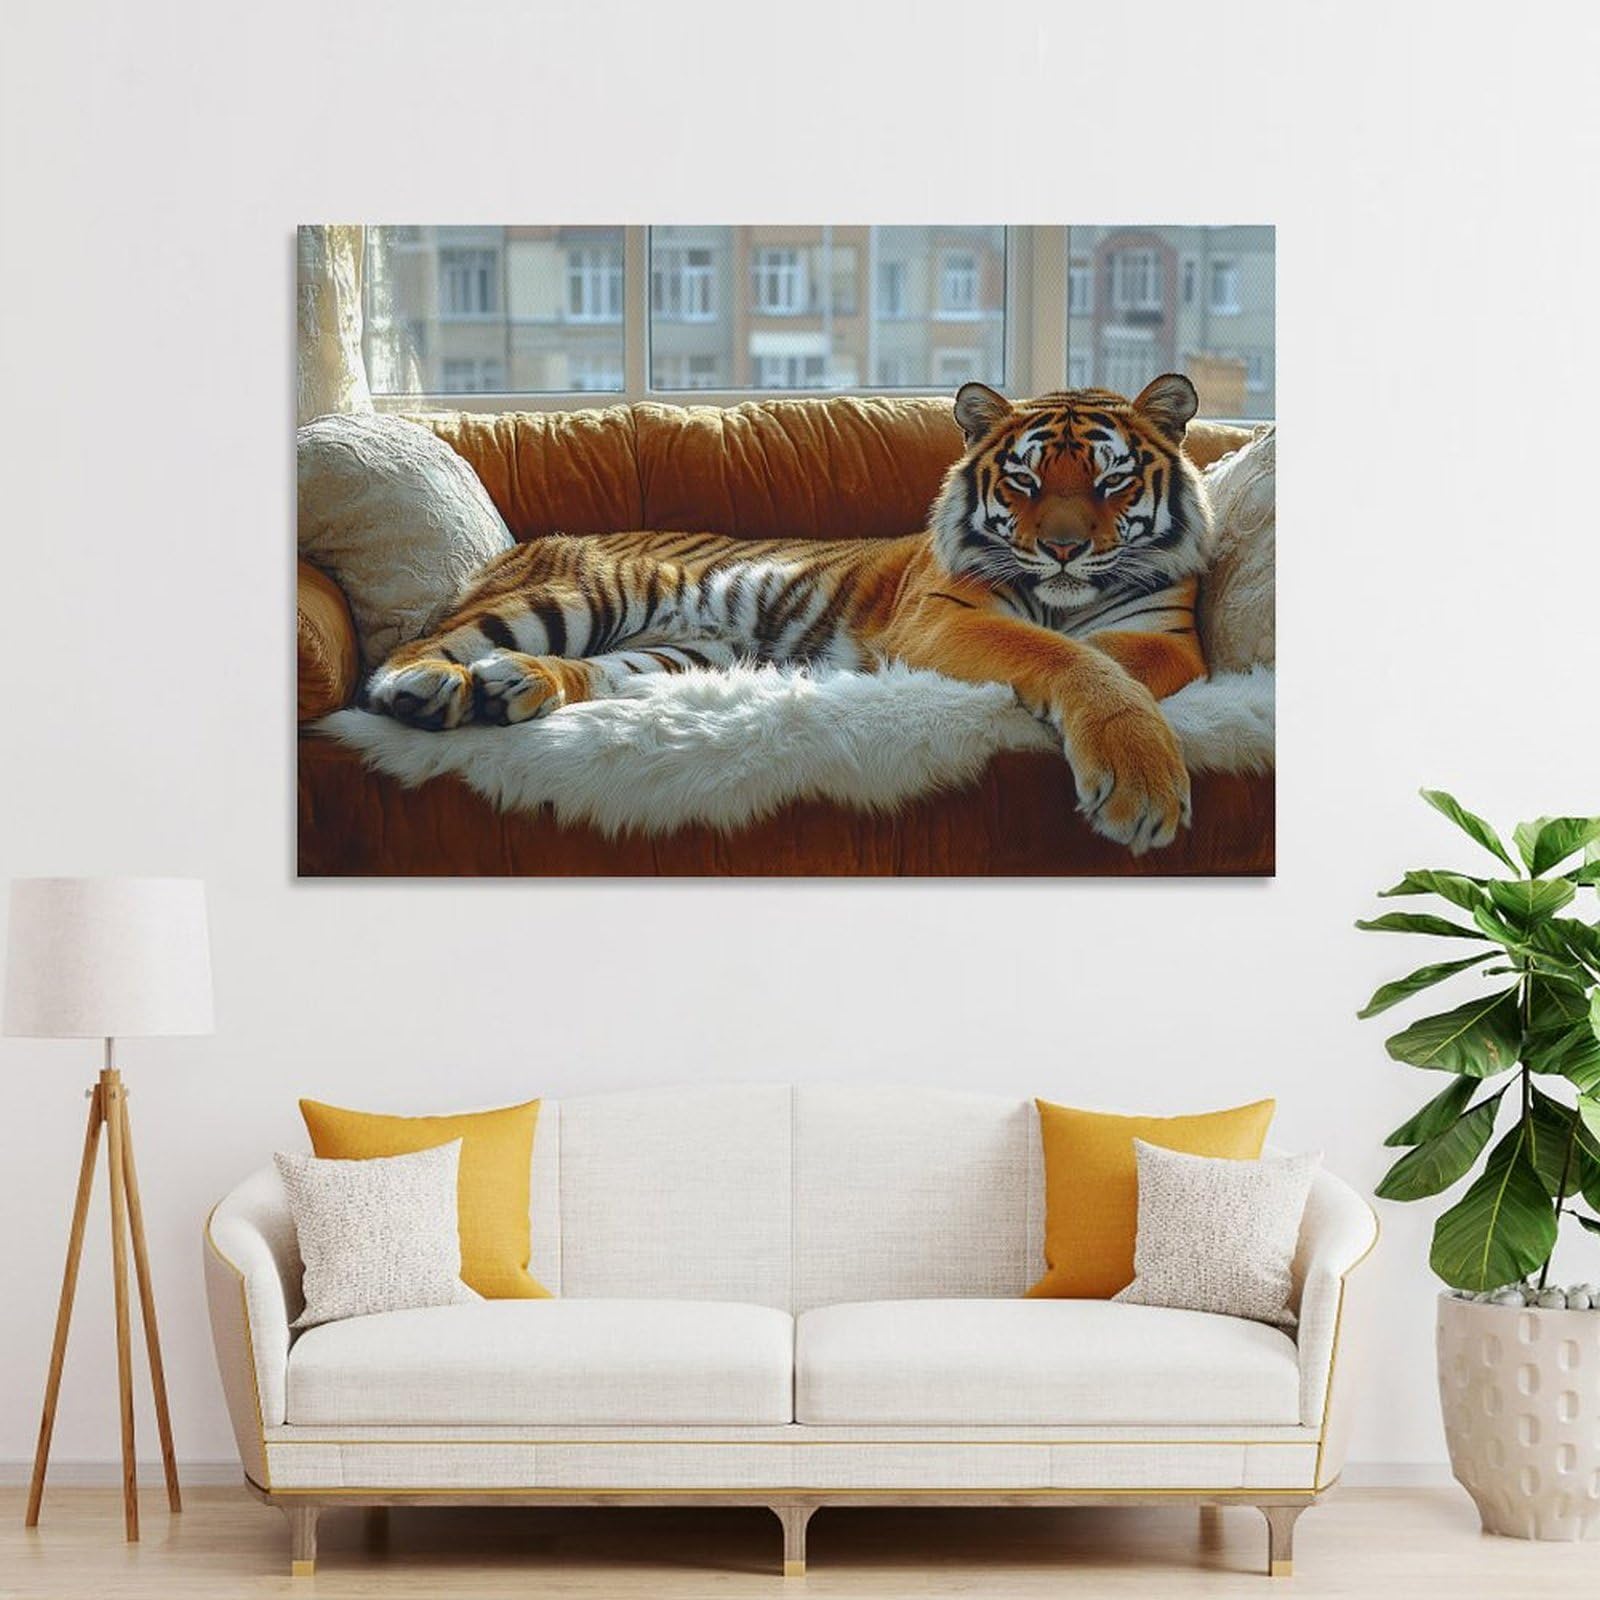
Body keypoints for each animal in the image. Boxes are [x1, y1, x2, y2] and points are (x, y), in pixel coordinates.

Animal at [362, 373, 1212, 854]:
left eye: (1111, 482)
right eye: (1024, 482)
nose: (1064, 549)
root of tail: (519, 547)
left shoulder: (1170, 639)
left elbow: (1102, 659)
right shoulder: (940, 618)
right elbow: (1063, 655)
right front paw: (1139, 786)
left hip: (681, 654)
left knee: (578, 671)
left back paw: (514, 685)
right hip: (594, 592)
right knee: (402, 658)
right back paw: (431, 689)